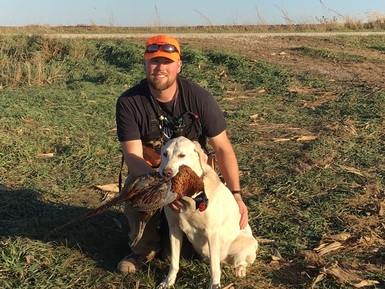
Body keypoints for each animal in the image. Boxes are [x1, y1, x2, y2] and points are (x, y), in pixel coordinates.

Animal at [156, 136, 258, 288]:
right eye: (165, 154)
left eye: (182, 155)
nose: (166, 172)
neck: (190, 198)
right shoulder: (174, 229)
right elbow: (174, 262)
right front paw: (168, 281)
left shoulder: (212, 233)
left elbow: (214, 268)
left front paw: (214, 284)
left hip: (249, 242)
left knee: (241, 261)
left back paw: (240, 270)